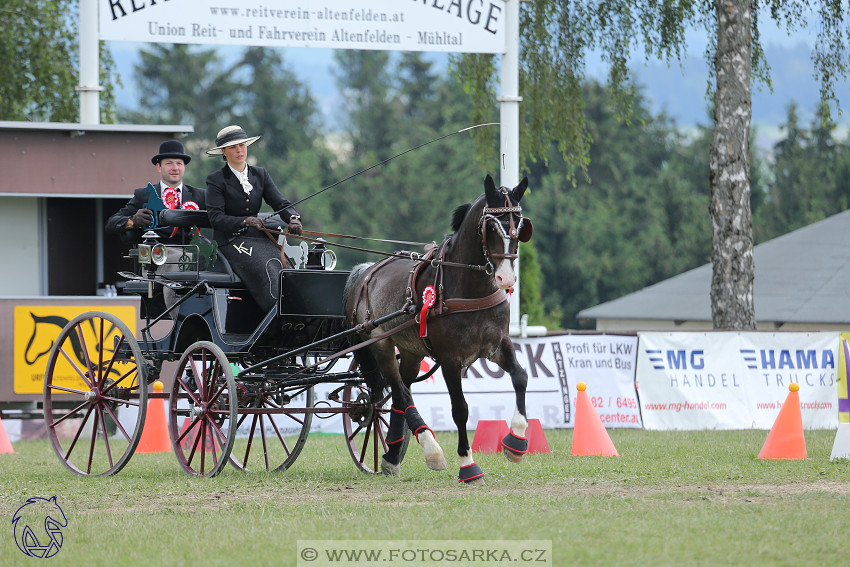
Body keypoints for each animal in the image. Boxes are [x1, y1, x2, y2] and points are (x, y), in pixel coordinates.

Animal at [340, 175, 528, 486]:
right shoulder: (451, 359)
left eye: (521, 226)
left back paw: (392, 456)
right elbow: (460, 409)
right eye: (491, 227)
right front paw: (468, 464)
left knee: (399, 395)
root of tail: (366, 271)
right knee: (402, 393)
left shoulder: (498, 343)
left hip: (411, 351)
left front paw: (517, 442)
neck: (467, 287)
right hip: (380, 344)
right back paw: (431, 448)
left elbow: (521, 378)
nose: (506, 278)